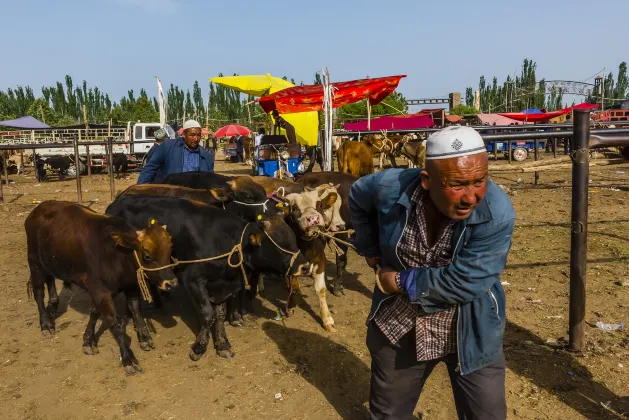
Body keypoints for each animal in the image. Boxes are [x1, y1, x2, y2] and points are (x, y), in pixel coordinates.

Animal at [24, 200, 177, 374]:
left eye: (169, 252)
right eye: (147, 256)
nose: (171, 283)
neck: (116, 254)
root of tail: (39, 208)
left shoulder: (129, 287)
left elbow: (132, 310)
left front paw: (143, 337)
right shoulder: (100, 290)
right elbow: (115, 322)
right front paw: (128, 358)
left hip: (49, 261)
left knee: (50, 279)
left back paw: (53, 306)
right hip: (34, 262)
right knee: (38, 292)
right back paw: (45, 324)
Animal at [106, 195, 310, 360]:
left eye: (293, 239)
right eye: (279, 244)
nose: (306, 266)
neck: (226, 242)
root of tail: (115, 203)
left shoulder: (222, 286)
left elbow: (218, 315)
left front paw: (222, 343)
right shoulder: (192, 280)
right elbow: (207, 314)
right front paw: (199, 347)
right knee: (133, 302)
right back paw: (143, 335)